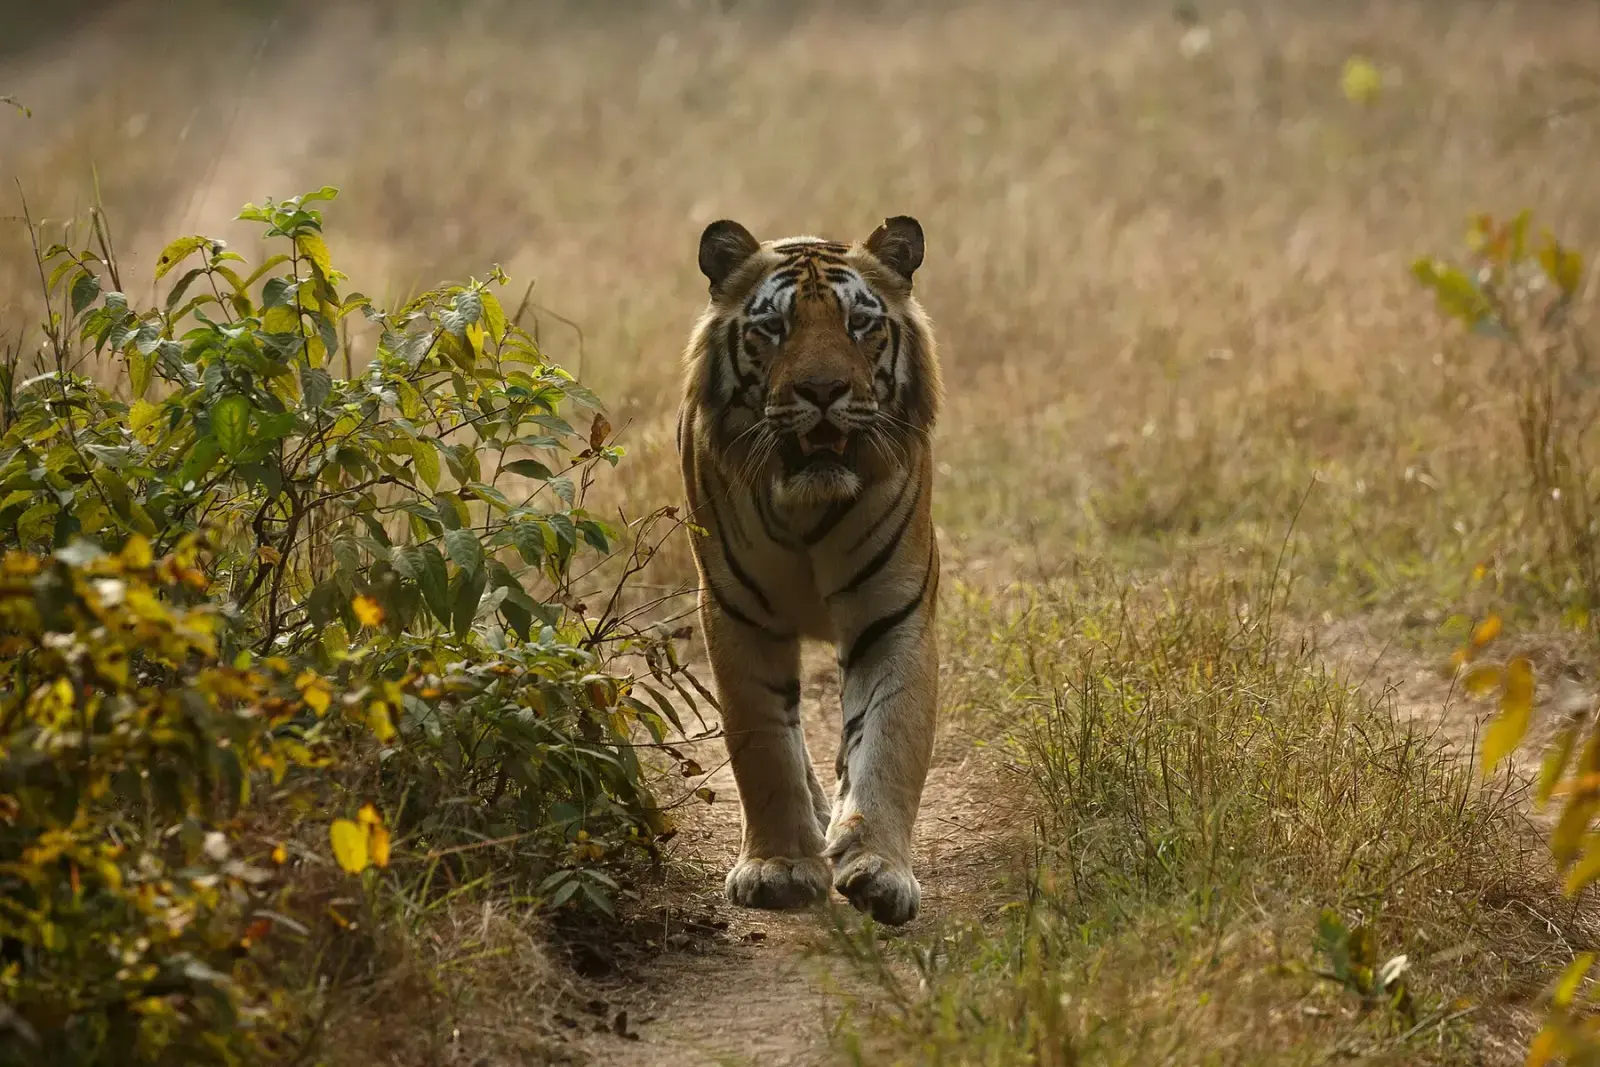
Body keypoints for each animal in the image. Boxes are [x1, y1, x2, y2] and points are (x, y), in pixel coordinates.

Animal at [675, 215, 941, 926]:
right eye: (773, 327)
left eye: (860, 324)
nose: (823, 392)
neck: (810, 506)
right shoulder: (737, 615)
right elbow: (764, 746)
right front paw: (779, 868)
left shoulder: (894, 614)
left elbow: (889, 740)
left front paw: (878, 870)